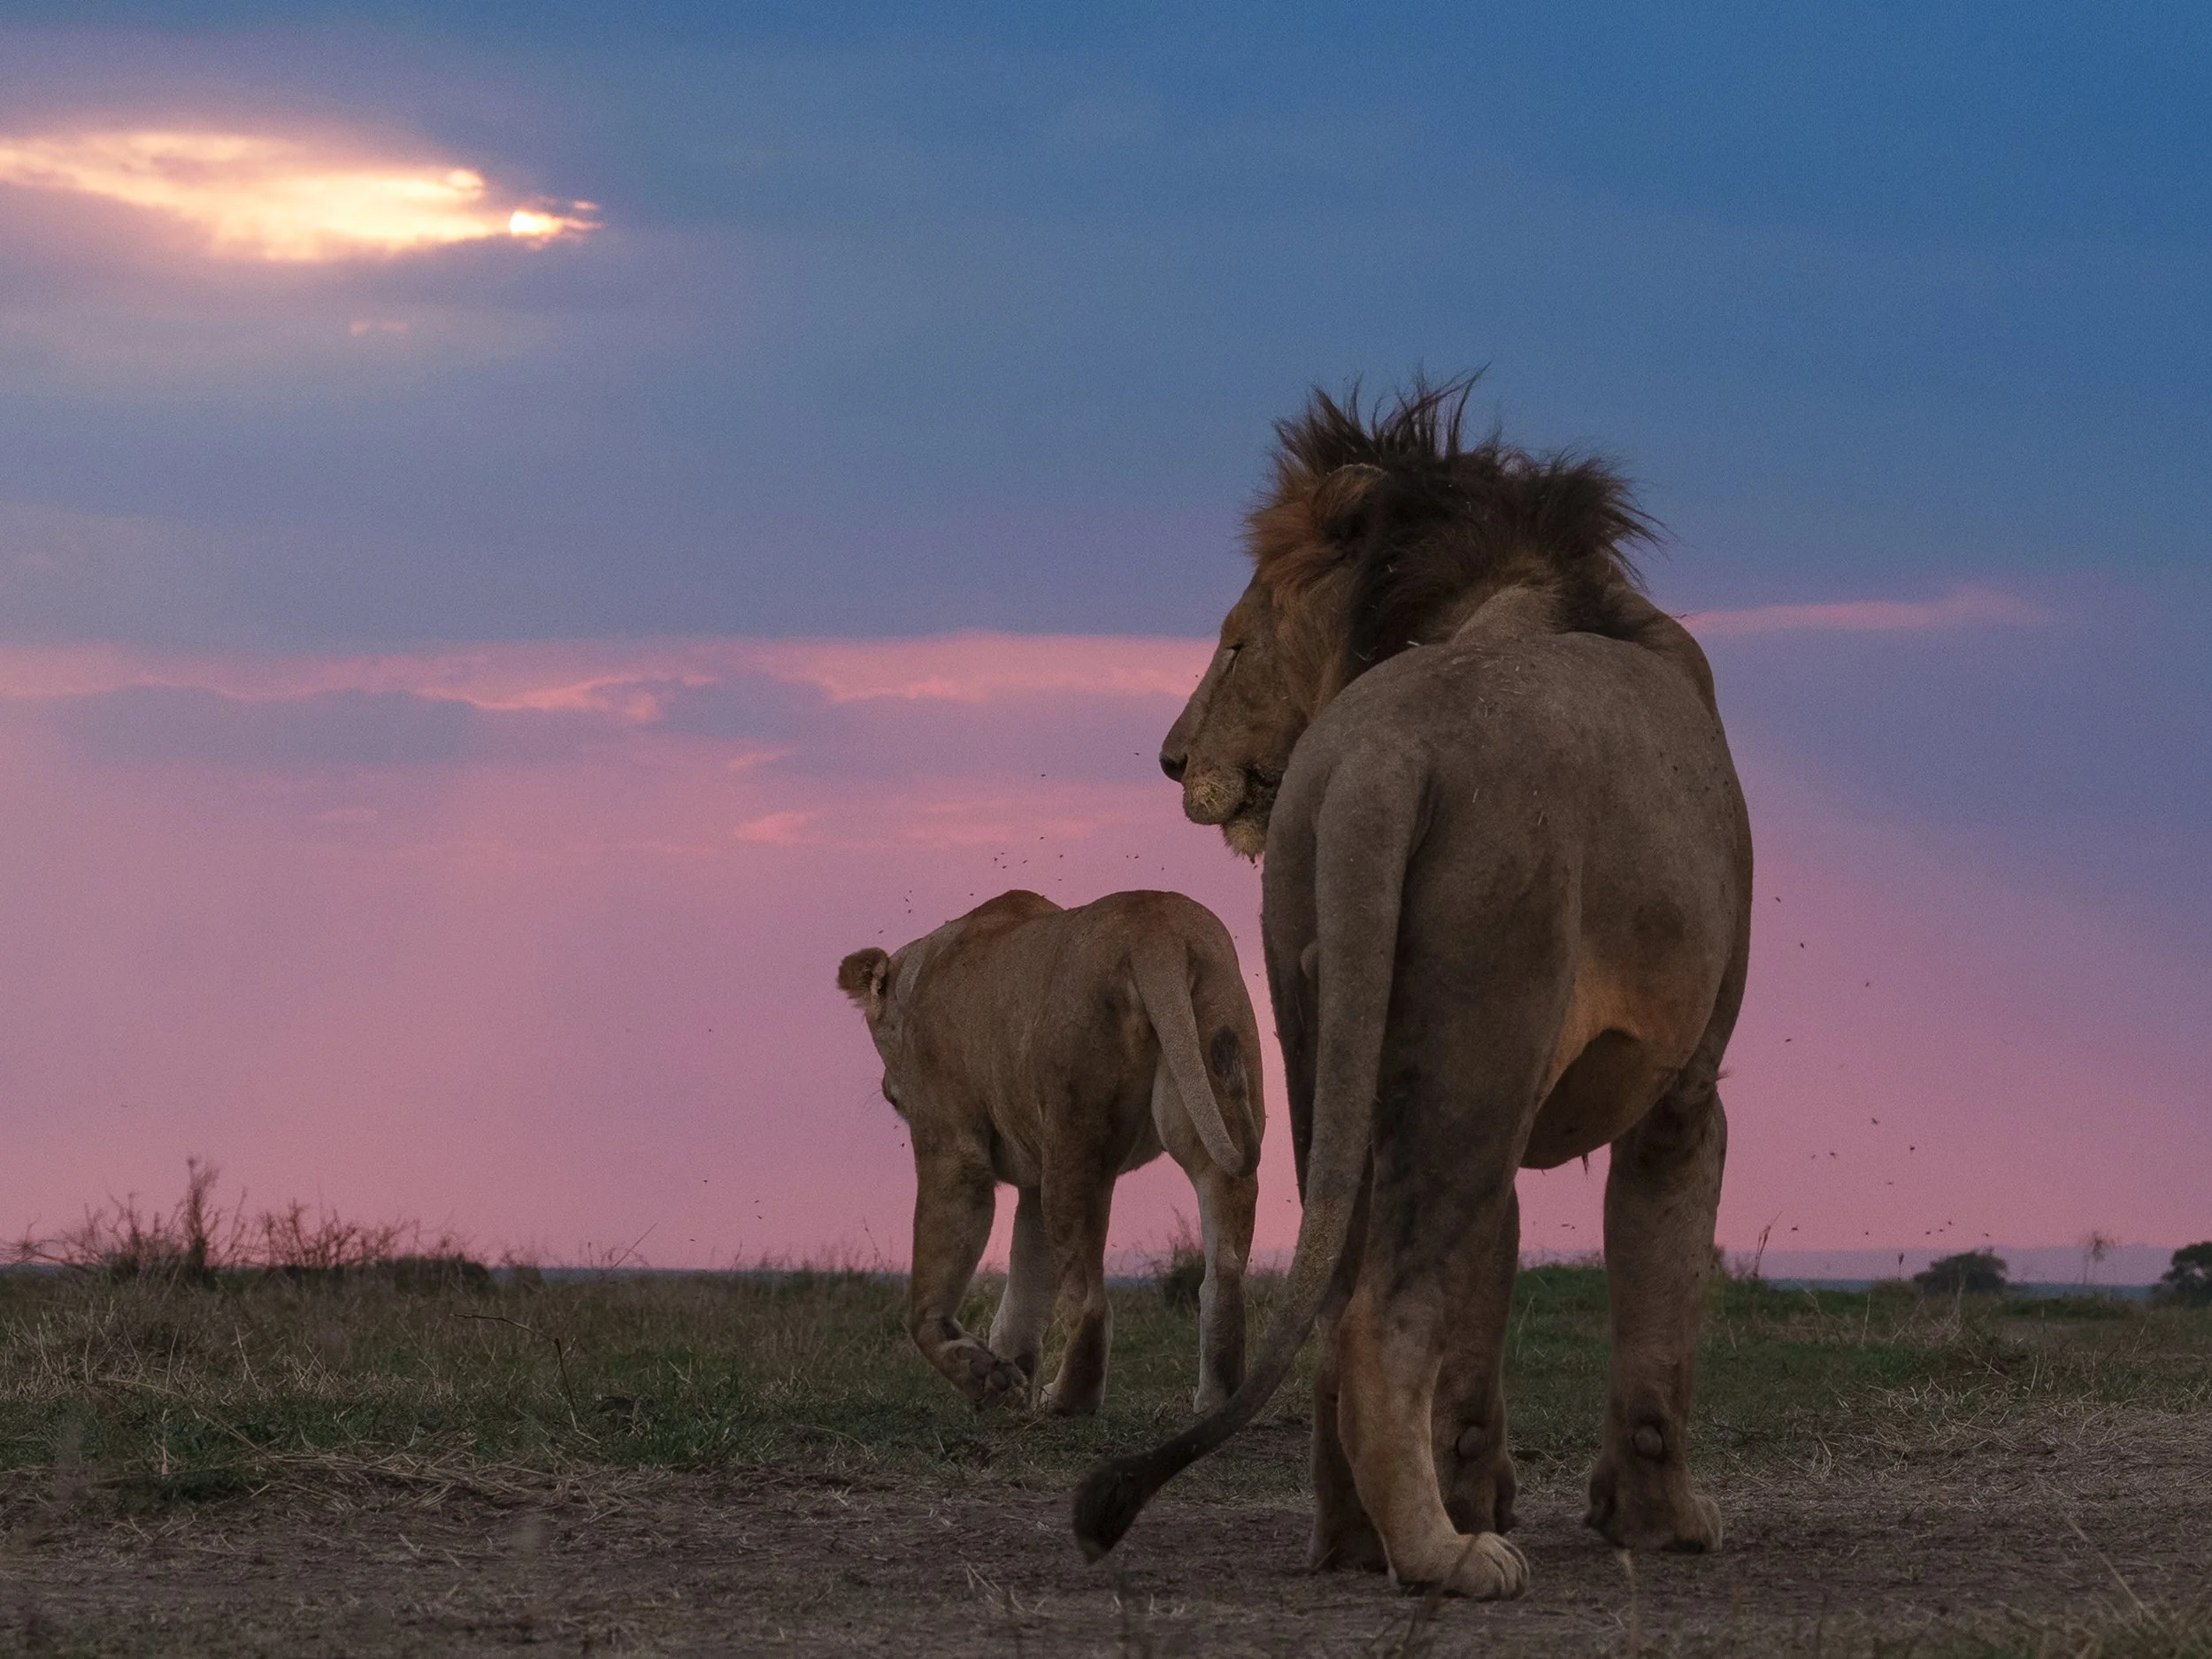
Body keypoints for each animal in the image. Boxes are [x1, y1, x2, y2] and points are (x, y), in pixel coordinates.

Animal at [838, 888, 1264, 1416]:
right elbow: (1026, 1284)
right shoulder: (1033, 1177)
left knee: (1090, 1300)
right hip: (1213, 1081)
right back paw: (1217, 1400)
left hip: (1074, 1138)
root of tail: (1156, 925)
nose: (885, 1088)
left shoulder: (952, 1144)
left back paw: (1065, 1402)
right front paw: (1006, 1378)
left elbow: (931, 1295)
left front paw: (981, 1373)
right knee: (1224, 1269)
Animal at [1073, 380, 1752, 1599]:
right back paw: (1445, 1556)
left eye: (1234, 644)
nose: (1170, 758)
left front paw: (1485, 1488)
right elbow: (1659, 1312)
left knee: (1339, 1300)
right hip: (1484, 1033)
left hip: (1334, 1038)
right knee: (1377, 1315)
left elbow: (1476, 1339)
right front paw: (1660, 1521)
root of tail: (1386, 757)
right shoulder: (1685, 1092)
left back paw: (1358, 1539)